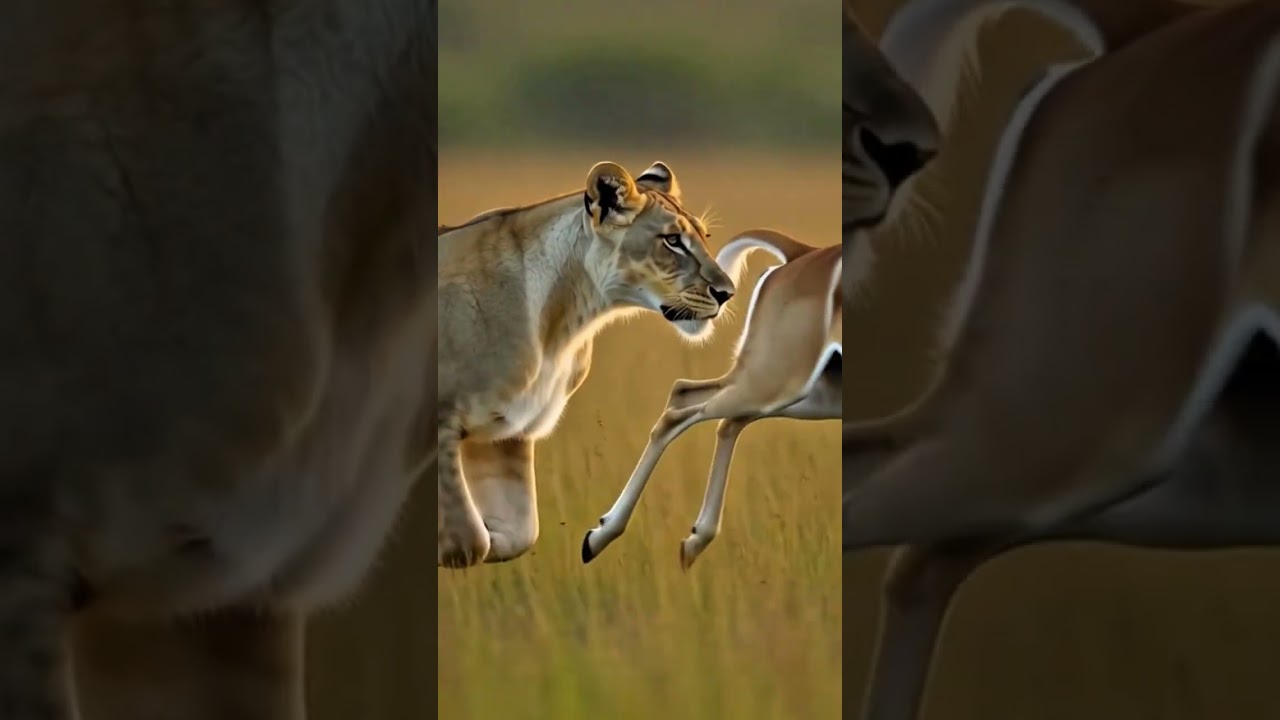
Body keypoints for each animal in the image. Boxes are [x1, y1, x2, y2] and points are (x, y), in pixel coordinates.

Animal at [437, 160, 736, 568]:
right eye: (672, 240)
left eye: (704, 237)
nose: (727, 293)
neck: (562, 323)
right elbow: (467, 540)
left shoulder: (505, 433)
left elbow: (512, 536)